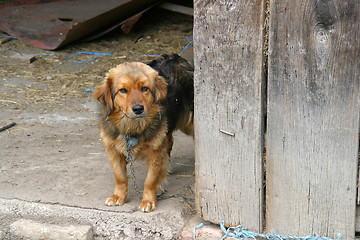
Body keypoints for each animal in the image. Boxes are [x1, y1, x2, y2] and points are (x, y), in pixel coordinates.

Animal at [94, 54, 193, 212]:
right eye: (123, 90)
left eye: (144, 88)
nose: (138, 109)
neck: (132, 127)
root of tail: (174, 58)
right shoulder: (113, 150)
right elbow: (120, 177)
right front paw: (118, 196)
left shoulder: (155, 151)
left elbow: (150, 180)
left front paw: (148, 200)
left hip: (189, 123)